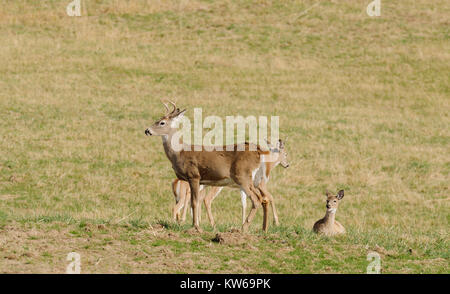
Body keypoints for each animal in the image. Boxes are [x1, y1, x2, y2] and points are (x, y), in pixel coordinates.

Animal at [146, 101, 274, 232]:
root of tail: (258, 151)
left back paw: (243, 228)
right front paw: (195, 225)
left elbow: (194, 202)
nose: (147, 131)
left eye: (162, 122)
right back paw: (262, 229)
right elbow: (194, 202)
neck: (179, 152)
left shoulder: (194, 175)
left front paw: (196, 227)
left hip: (242, 175)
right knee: (263, 198)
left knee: (256, 199)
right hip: (256, 179)